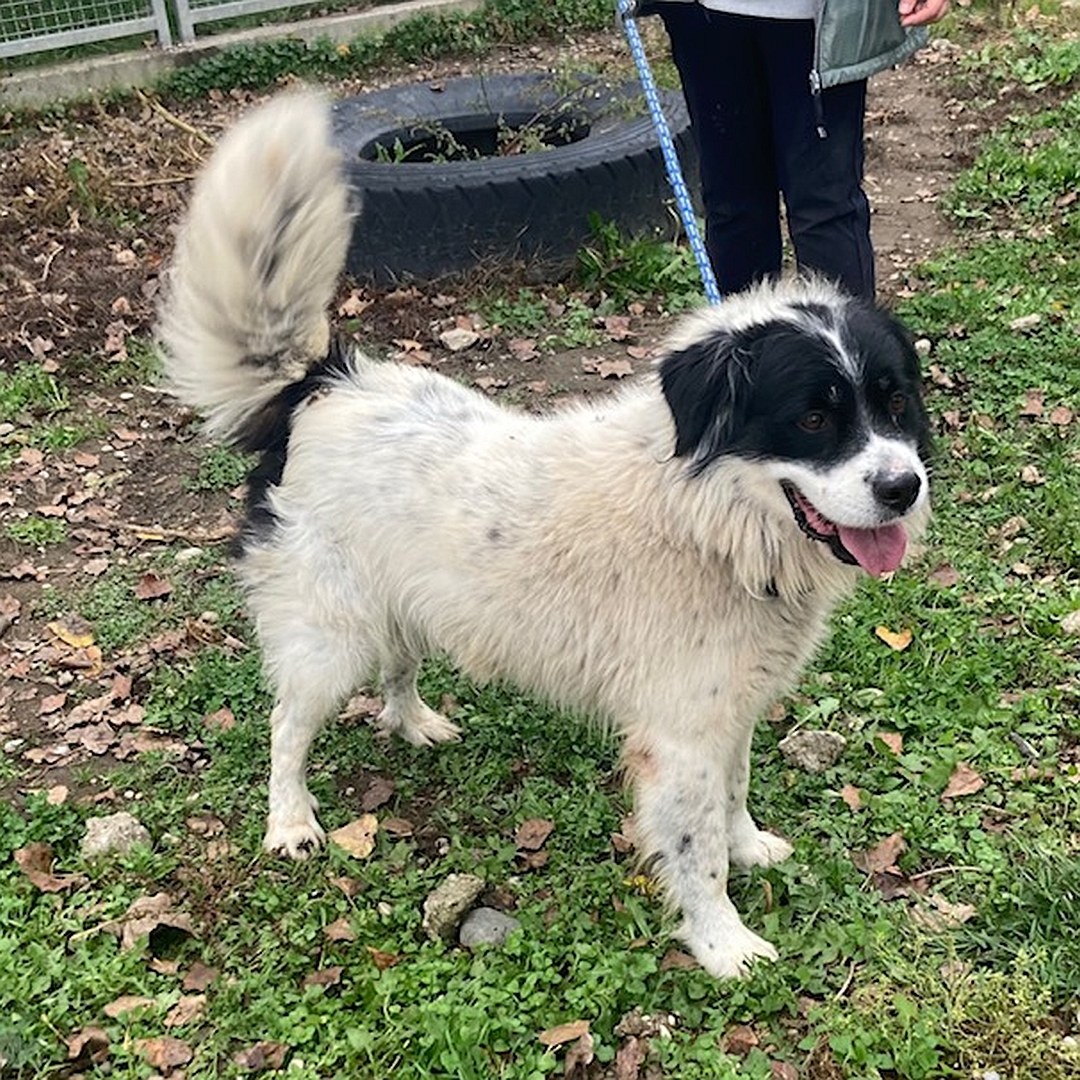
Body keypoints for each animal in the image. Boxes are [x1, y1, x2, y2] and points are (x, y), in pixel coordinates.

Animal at [157, 92, 928, 980]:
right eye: (811, 419)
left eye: (895, 404)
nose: (904, 489)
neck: (702, 516)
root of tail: (318, 384)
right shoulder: (679, 732)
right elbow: (695, 849)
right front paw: (723, 943)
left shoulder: (728, 707)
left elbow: (732, 795)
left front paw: (749, 848)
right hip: (330, 634)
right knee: (286, 724)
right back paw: (289, 822)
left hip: (405, 602)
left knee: (397, 667)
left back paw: (413, 723)